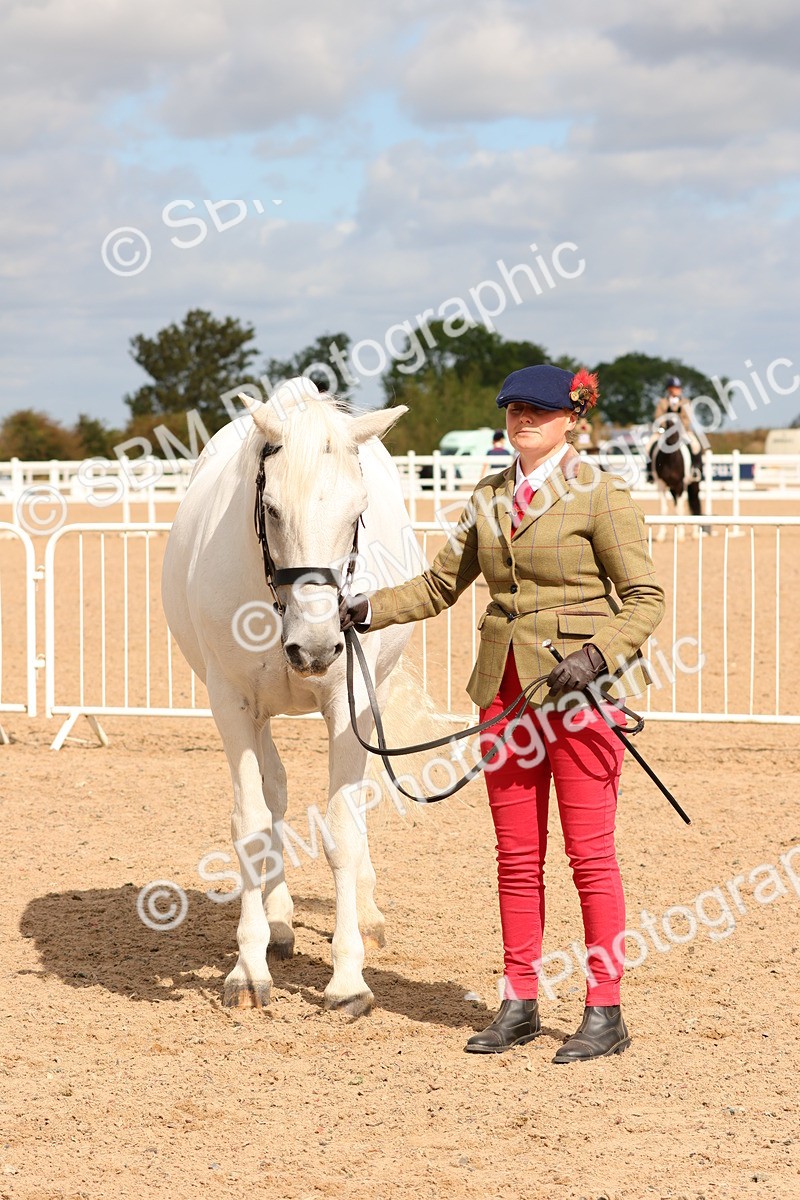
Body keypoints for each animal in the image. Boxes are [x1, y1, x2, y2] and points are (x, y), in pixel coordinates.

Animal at [162, 378, 418, 1015]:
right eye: (272, 508)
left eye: (358, 512)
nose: (318, 646)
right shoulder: (233, 706)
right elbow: (253, 824)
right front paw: (248, 967)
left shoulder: (349, 710)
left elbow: (343, 830)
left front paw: (348, 978)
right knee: (274, 792)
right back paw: (278, 923)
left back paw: (368, 913)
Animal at [650, 411, 703, 541]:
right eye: (668, 424)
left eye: (679, 424)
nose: (673, 441)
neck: (670, 460)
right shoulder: (661, 485)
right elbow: (663, 509)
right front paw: (661, 535)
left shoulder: (680, 485)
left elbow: (680, 509)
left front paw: (680, 535)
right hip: (672, 489)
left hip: (693, 484)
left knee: (694, 504)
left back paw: (694, 533)